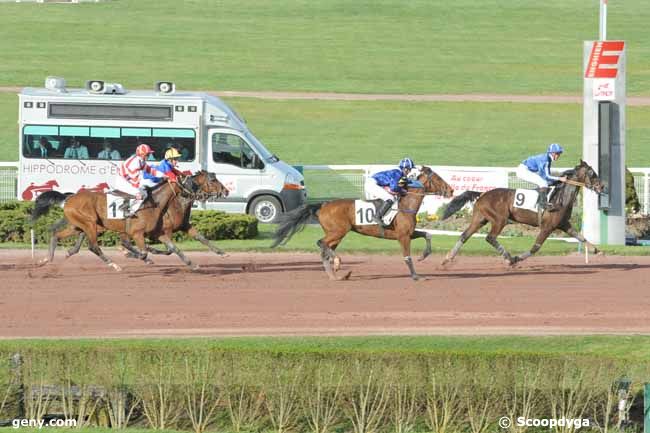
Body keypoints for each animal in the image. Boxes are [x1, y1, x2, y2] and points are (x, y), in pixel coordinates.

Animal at [32, 170, 225, 268]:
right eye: (212, 180)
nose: (225, 191)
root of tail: (69, 198)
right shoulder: (140, 232)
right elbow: (147, 251)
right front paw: (138, 255)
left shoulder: (165, 230)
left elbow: (181, 245)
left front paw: (215, 255)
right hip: (89, 223)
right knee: (93, 246)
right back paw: (114, 264)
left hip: (79, 225)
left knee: (57, 235)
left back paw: (47, 259)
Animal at [268, 165, 450, 280]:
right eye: (438, 178)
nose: (450, 190)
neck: (406, 205)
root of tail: (324, 204)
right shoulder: (403, 236)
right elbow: (407, 257)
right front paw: (416, 276)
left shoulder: (409, 233)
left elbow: (428, 234)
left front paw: (424, 255)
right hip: (338, 231)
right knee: (321, 243)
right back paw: (337, 263)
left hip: (337, 234)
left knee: (326, 249)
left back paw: (336, 273)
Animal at [438, 160, 604, 264]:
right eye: (592, 173)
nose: (602, 186)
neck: (560, 198)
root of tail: (482, 194)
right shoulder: (547, 227)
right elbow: (535, 247)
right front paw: (517, 259)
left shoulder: (564, 225)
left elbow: (581, 237)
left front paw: (597, 250)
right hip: (500, 220)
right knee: (490, 237)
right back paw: (509, 258)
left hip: (480, 219)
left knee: (464, 235)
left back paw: (448, 258)